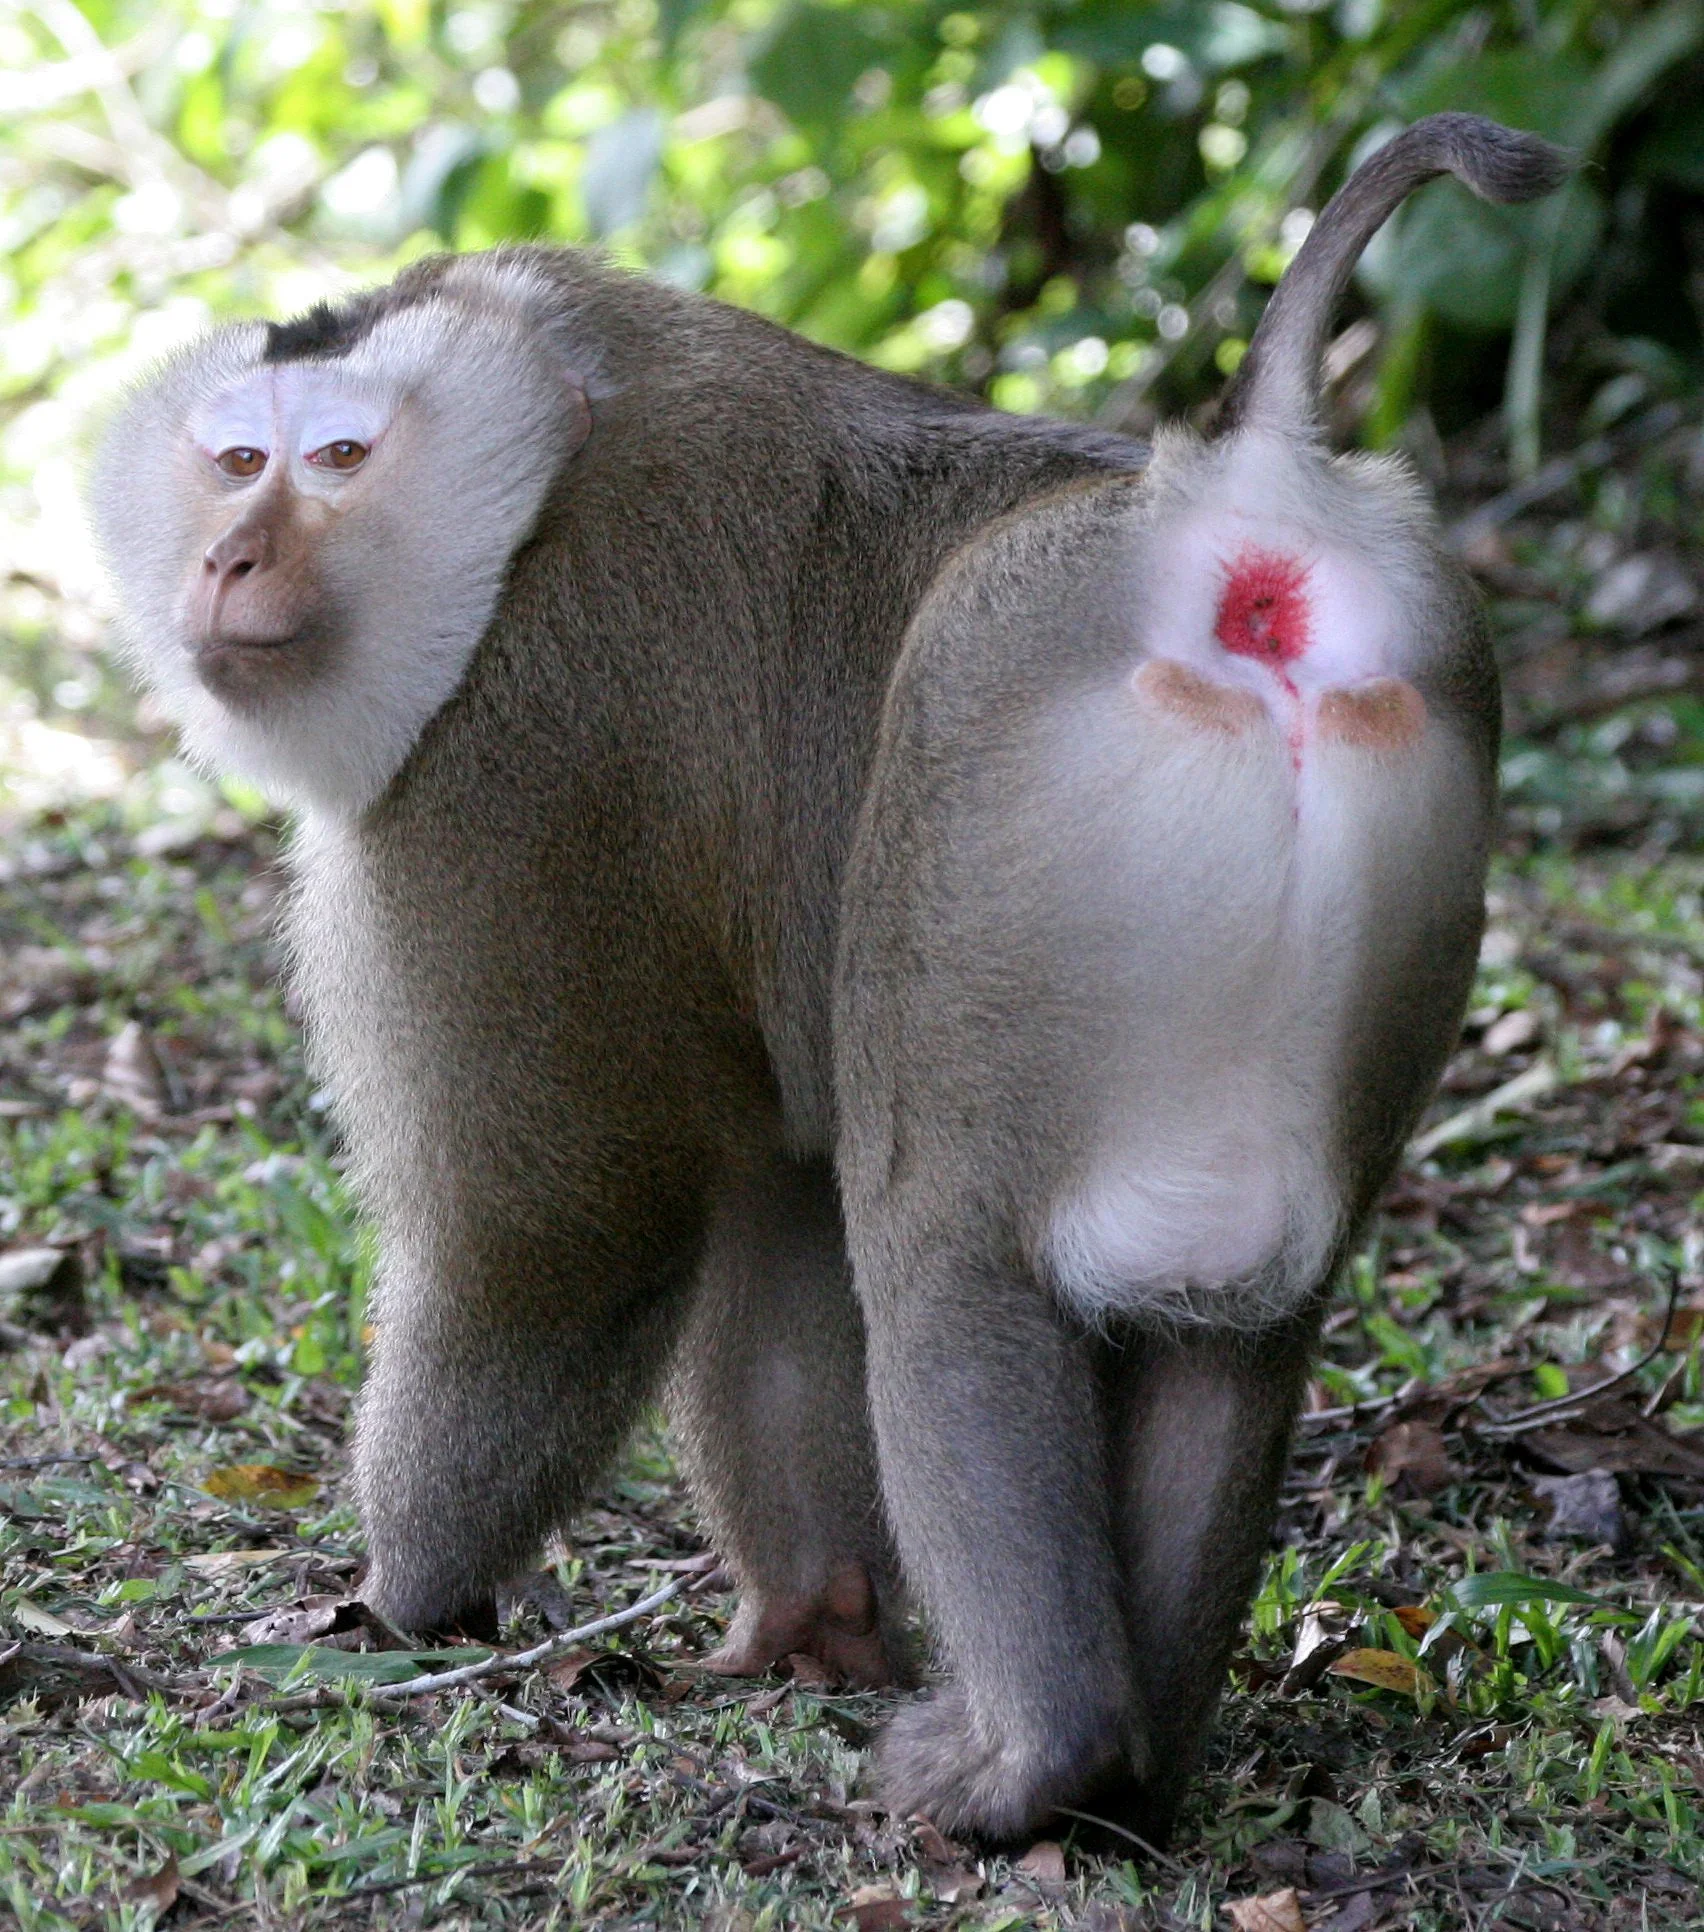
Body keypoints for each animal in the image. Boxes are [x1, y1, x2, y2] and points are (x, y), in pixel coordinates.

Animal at [90, 113, 1569, 1846]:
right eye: (234, 461)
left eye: (335, 459)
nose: (230, 553)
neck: (538, 485)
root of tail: (1238, 499)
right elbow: (771, 1194)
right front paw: (819, 1621)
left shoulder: (519, 762)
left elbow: (566, 1232)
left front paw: (393, 1605)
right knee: (1244, 1325)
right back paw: (1136, 1779)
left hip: (978, 750)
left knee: (940, 1247)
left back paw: (1037, 1760)